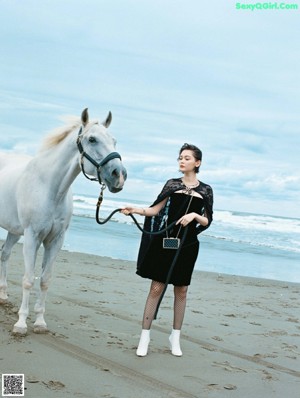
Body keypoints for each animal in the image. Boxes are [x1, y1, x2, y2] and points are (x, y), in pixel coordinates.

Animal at [0, 107, 126, 334]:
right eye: (92, 139)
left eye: (114, 140)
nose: (119, 175)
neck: (49, 188)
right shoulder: (32, 237)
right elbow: (28, 280)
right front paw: (21, 323)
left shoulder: (55, 240)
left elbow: (45, 280)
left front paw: (40, 322)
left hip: (14, 230)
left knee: (4, 254)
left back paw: (3, 295)